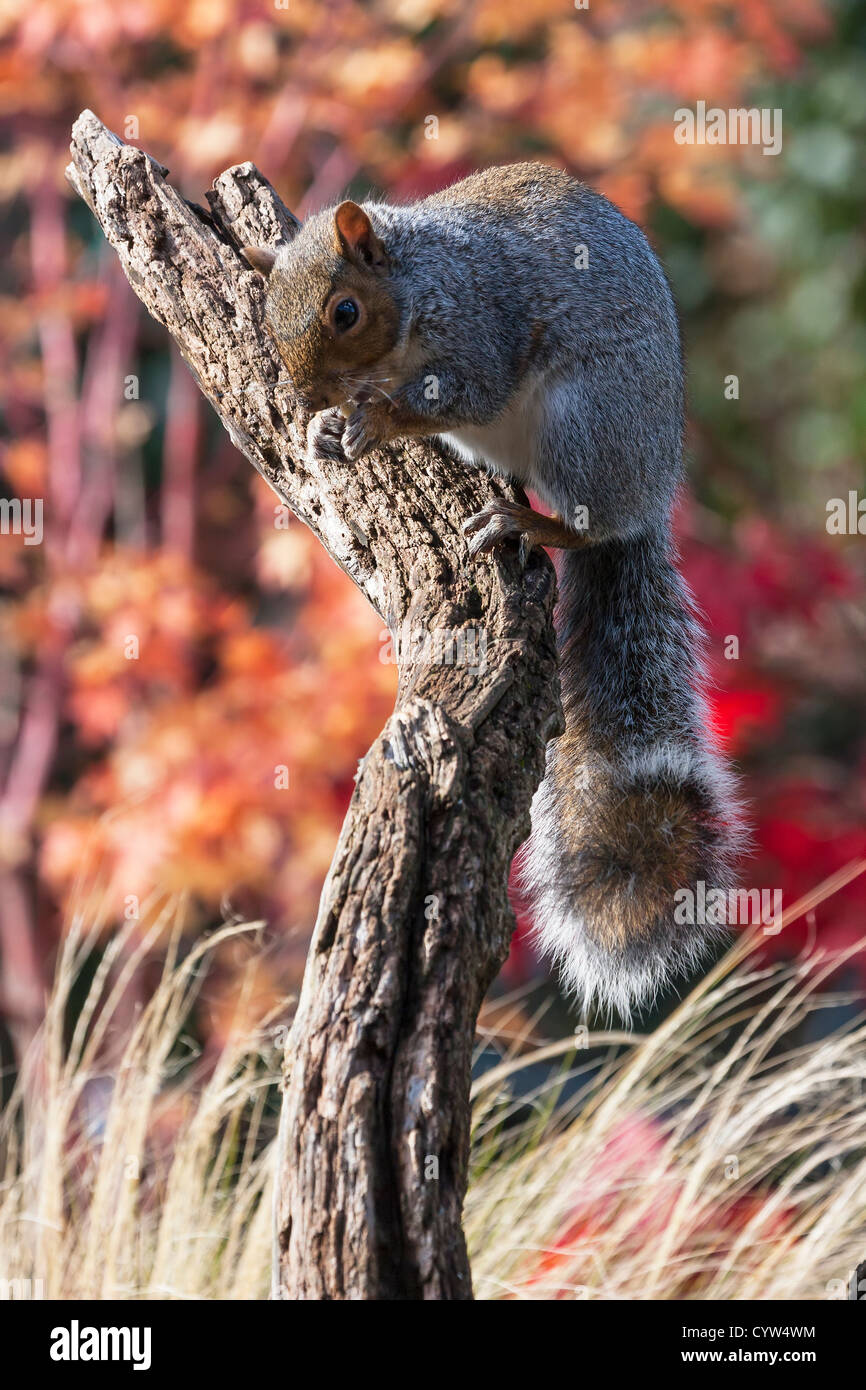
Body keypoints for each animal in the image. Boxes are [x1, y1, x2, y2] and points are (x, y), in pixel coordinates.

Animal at [246, 162, 745, 1017]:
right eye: (270, 319)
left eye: (345, 312)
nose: (307, 399)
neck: (416, 284)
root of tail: (652, 491)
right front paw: (327, 430)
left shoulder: (480, 329)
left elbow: (465, 392)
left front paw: (374, 419)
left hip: (587, 424)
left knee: (587, 527)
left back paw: (526, 520)